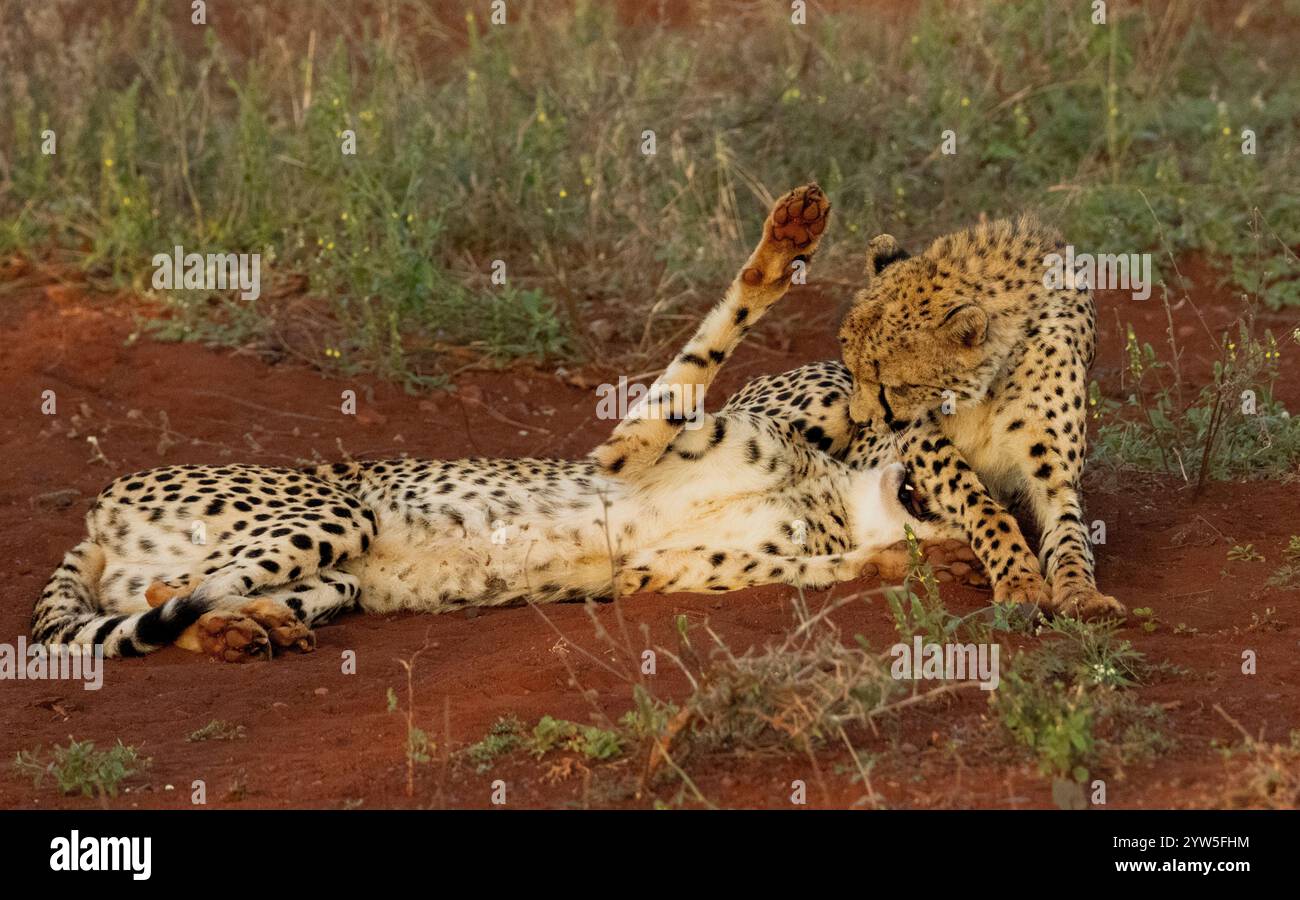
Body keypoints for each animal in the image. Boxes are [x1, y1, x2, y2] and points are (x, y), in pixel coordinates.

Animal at [32, 184, 946, 660]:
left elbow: (831, 566)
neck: (838, 492)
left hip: (335, 577)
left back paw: (241, 630)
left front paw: (920, 560)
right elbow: (722, 330)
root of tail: (98, 513)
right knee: (175, 591)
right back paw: (236, 625)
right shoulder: (630, 448)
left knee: (171, 606)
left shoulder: (661, 571)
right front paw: (785, 241)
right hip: (336, 513)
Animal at [728, 218, 1123, 619]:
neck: (989, 383)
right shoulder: (916, 434)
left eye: (891, 385)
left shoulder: (1054, 476)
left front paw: (1081, 593)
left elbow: (1070, 531)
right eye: (853, 370)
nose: (861, 422)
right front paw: (1020, 581)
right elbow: (981, 504)